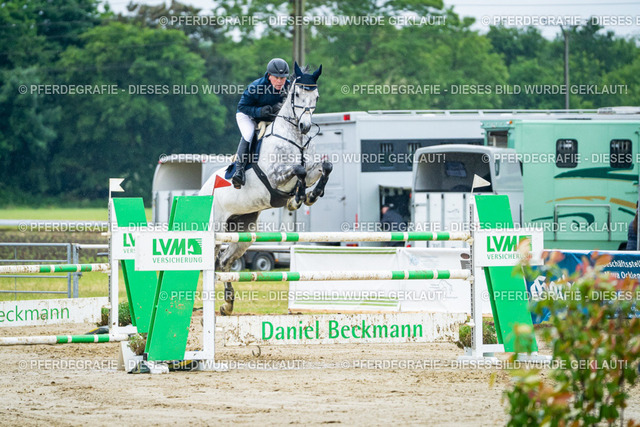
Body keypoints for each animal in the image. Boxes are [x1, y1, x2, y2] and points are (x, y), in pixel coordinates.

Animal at [199, 62, 332, 315]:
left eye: (317, 96)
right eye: (296, 94)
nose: (305, 126)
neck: (296, 138)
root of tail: (201, 191)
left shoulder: (313, 170)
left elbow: (324, 166)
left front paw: (311, 195)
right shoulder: (274, 176)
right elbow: (298, 170)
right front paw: (296, 199)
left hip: (244, 230)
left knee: (225, 261)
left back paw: (227, 305)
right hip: (217, 228)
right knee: (212, 261)